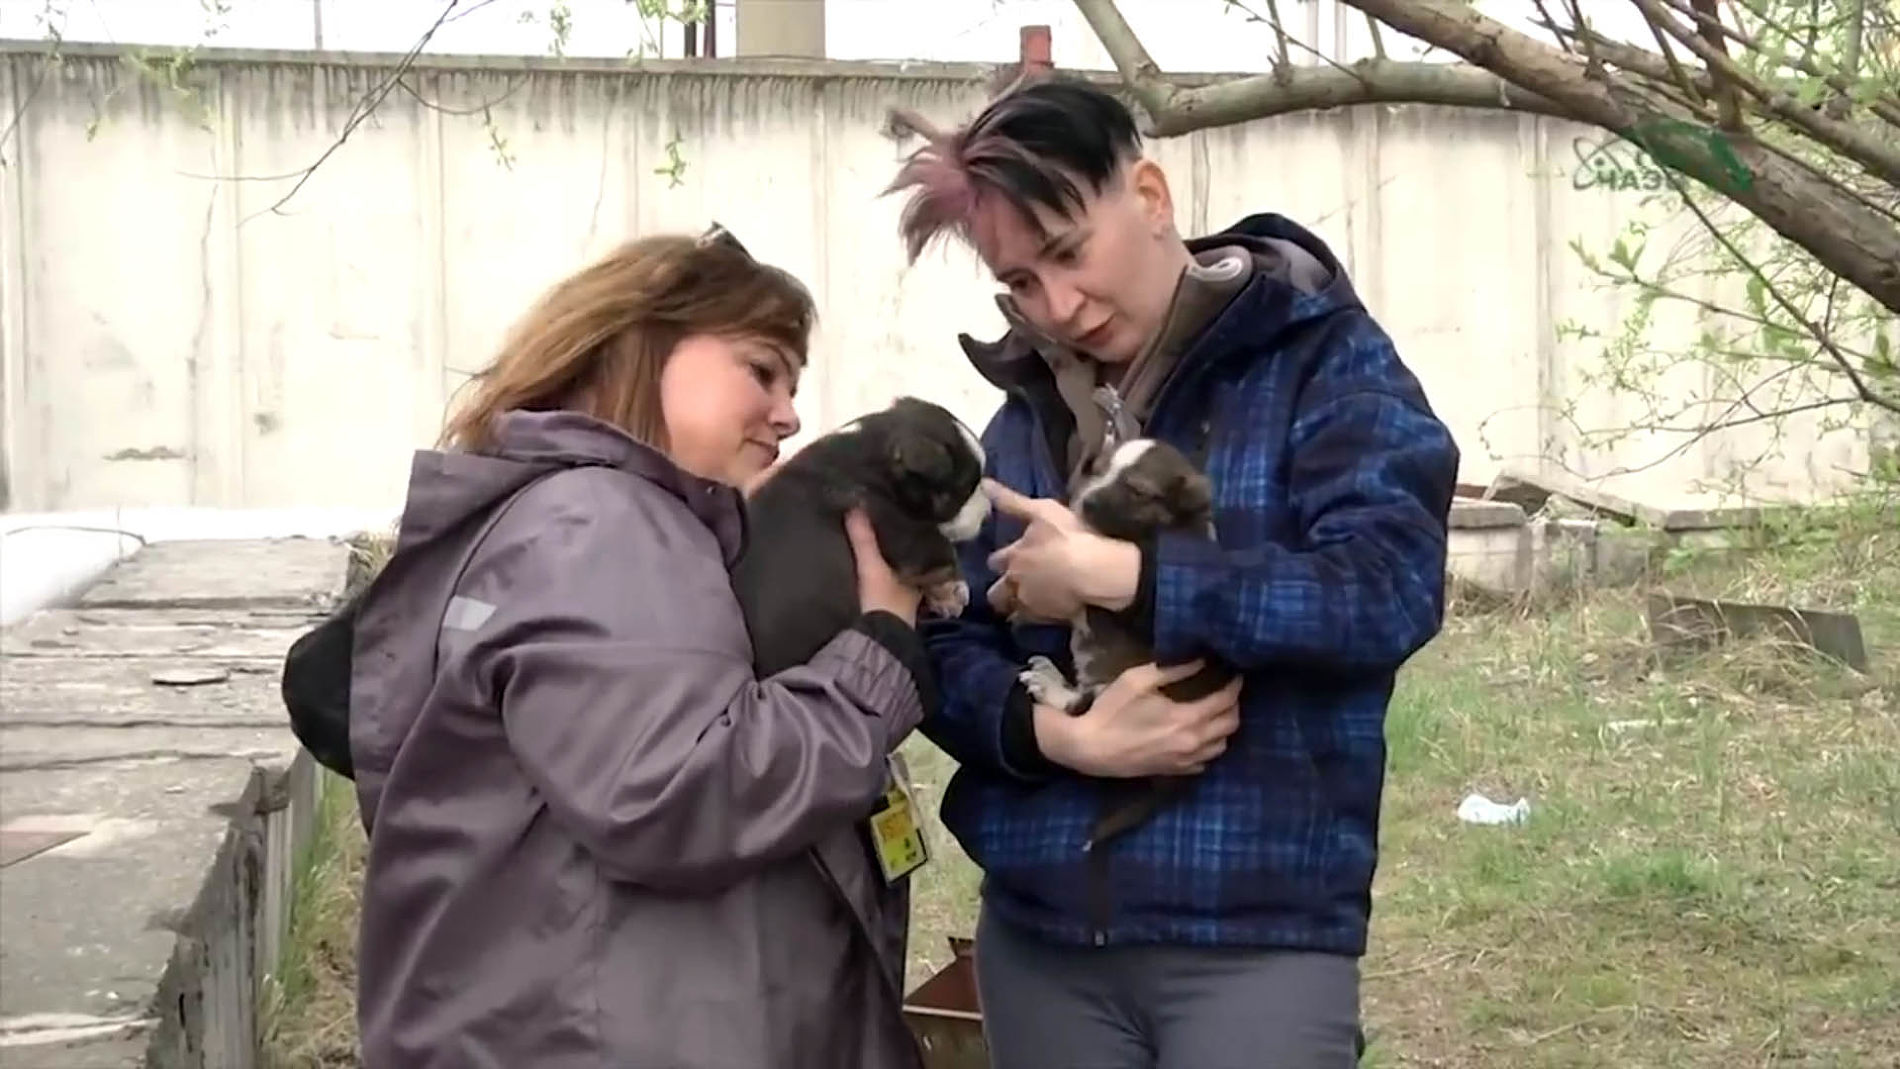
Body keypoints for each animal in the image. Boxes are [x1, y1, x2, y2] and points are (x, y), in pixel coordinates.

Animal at [731, 396, 990, 677]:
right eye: (965, 490)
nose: (988, 511)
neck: (874, 457)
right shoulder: (897, 529)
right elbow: (940, 549)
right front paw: (953, 589)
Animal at [1012, 437, 1238, 844]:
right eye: (1099, 469)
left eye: (1138, 491)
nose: (1084, 501)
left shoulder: (1098, 607)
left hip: (1110, 683)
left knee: (1080, 707)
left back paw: (1049, 683)